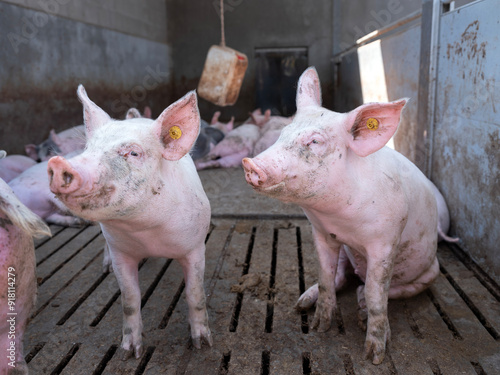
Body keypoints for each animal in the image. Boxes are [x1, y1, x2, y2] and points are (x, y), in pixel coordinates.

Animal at [48, 86, 215, 360]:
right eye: (88, 148)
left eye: (134, 153)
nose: (57, 163)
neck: (147, 233)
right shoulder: (121, 252)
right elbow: (129, 300)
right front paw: (129, 353)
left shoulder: (196, 247)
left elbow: (195, 295)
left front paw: (202, 344)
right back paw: (104, 268)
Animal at [242, 67, 446, 364]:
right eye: (283, 133)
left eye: (315, 141)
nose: (250, 164)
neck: (340, 221)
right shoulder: (322, 233)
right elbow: (326, 277)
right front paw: (319, 327)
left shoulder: (386, 242)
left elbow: (376, 293)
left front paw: (374, 355)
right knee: (340, 277)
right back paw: (302, 302)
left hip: (430, 272)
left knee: (381, 288)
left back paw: (360, 308)